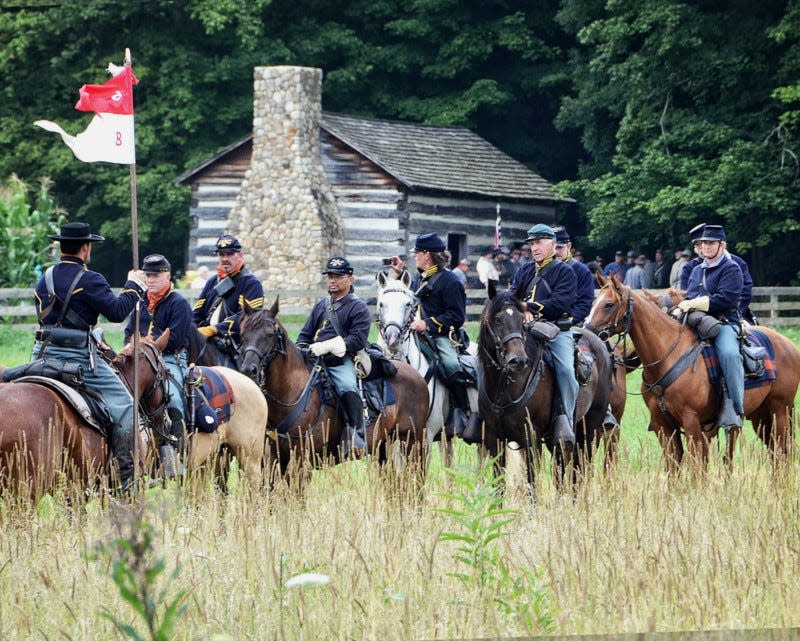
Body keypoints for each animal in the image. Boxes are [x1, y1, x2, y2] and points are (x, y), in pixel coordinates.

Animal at [236, 298, 428, 480]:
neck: (292, 394)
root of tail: (416, 375)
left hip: (413, 443)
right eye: (242, 334)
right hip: (383, 446)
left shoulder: (301, 460)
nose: (248, 370)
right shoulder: (273, 458)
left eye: (269, 335)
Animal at [476, 288, 612, 488]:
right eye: (498, 320)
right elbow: (498, 484)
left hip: (589, 429)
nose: (518, 360)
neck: (504, 388)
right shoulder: (495, 440)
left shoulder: (531, 438)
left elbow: (531, 482)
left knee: (582, 469)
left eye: (521, 320)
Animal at [584, 274, 800, 470]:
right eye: (594, 302)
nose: (588, 332)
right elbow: (674, 468)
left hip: (780, 411)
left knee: (781, 453)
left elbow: (697, 468)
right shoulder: (664, 426)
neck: (668, 355)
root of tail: (790, 345)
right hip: (760, 416)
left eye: (609, 304)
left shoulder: (693, 423)